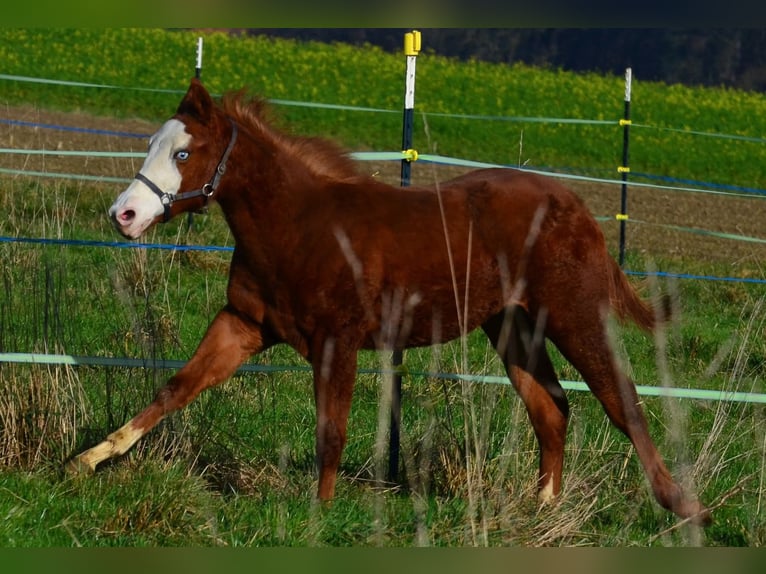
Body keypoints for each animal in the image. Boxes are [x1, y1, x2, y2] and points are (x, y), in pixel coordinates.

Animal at [67, 78, 711, 526]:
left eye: (184, 153)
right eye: (152, 144)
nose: (124, 214)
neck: (299, 227)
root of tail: (578, 209)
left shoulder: (338, 340)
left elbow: (331, 430)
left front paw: (322, 513)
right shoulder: (244, 325)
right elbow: (175, 388)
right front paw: (88, 460)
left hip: (574, 314)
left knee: (621, 401)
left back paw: (685, 508)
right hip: (513, 326)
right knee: (551, 408)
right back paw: (543, 510)